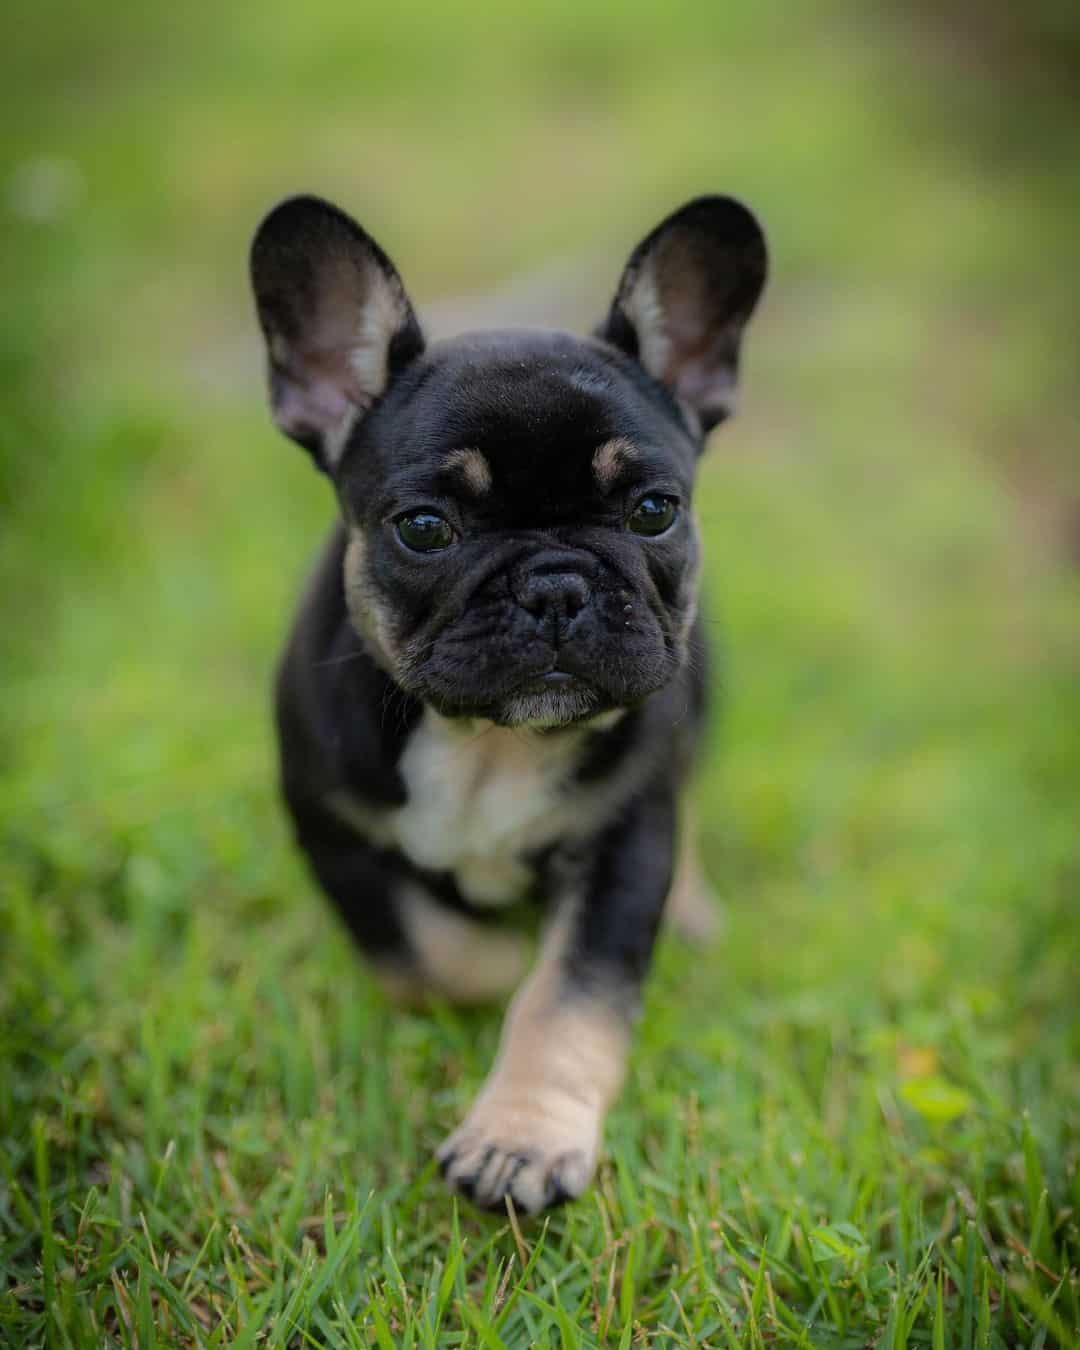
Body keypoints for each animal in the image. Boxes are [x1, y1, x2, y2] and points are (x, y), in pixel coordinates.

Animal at [248, 193, 766, 1215]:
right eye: (423, 528)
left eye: (655, 511)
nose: (555, 585)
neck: (489, 747)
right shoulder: (332, 830)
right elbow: (425, 954)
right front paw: (494, 966)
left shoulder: (622, 843)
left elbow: (570, 994)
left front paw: (520, 1137)